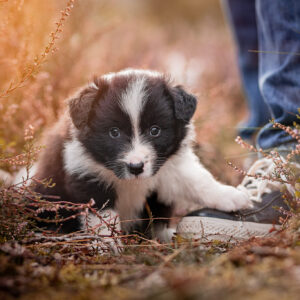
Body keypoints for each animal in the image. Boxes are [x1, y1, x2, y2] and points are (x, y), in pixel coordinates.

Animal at [18, 69, 251, 240]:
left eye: (155, 130)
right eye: (114, 132)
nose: (136, 167)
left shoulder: (171, 167)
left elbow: (198, 181)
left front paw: (230, 196)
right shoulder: (87, 178)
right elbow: (102, 220)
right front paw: (108, 248)